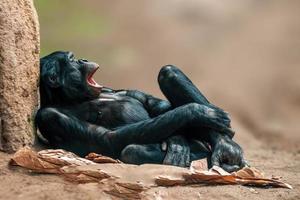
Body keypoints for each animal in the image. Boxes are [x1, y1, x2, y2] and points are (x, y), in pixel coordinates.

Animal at [35, 50, 246, 171]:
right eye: (72, 60)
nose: (83, 59)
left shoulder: (116, 89)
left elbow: (154, 106)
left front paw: (178, 140)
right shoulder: (50, 117)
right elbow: (107, 138)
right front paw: (197, 112)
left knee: (168, 72)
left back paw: (226, 147)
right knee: (131, 152)